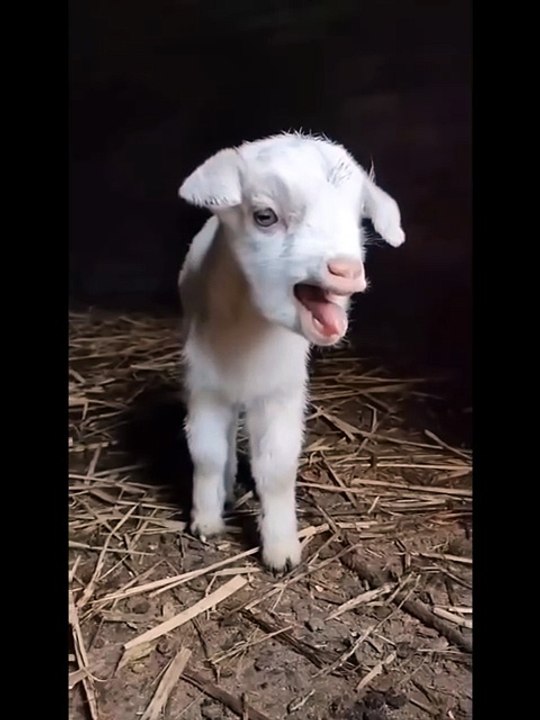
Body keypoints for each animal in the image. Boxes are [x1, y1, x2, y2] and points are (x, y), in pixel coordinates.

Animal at [177, 132, 405, 571]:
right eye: (265, 216)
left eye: (358, 218)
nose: (346, 271)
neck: (247, 336)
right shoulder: (205, 387)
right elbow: (207, 453)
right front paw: (207, 522)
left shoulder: (282, 391)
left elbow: (278, 468)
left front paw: (282, 550)